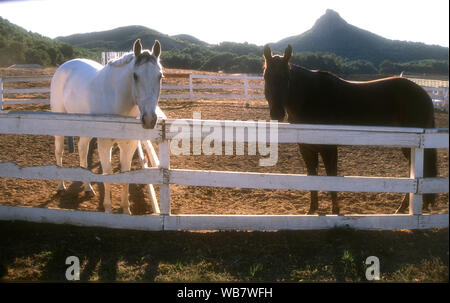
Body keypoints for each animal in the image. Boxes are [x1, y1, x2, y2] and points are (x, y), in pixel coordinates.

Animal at [50, 39, 163, 215]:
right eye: (135, 76)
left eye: (160, 76)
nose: (149, 119)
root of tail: (64, 66)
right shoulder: (104, 144)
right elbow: (107, 174)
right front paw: (108, 209)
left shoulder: (129, 144)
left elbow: (126, 174)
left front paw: (126, 210)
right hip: (60, 124)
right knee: (59, 151)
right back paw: (61, 185)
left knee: (82, 149)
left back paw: (88, 187)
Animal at [264, 44, 436, 216]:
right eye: (266, 76)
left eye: (287, 78)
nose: (277, 113)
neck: (311, 96)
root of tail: (423, 93)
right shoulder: (306, 147)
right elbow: (312, 175)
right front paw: (312, 209)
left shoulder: (328, 147)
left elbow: (331, 175)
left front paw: (335, 210)